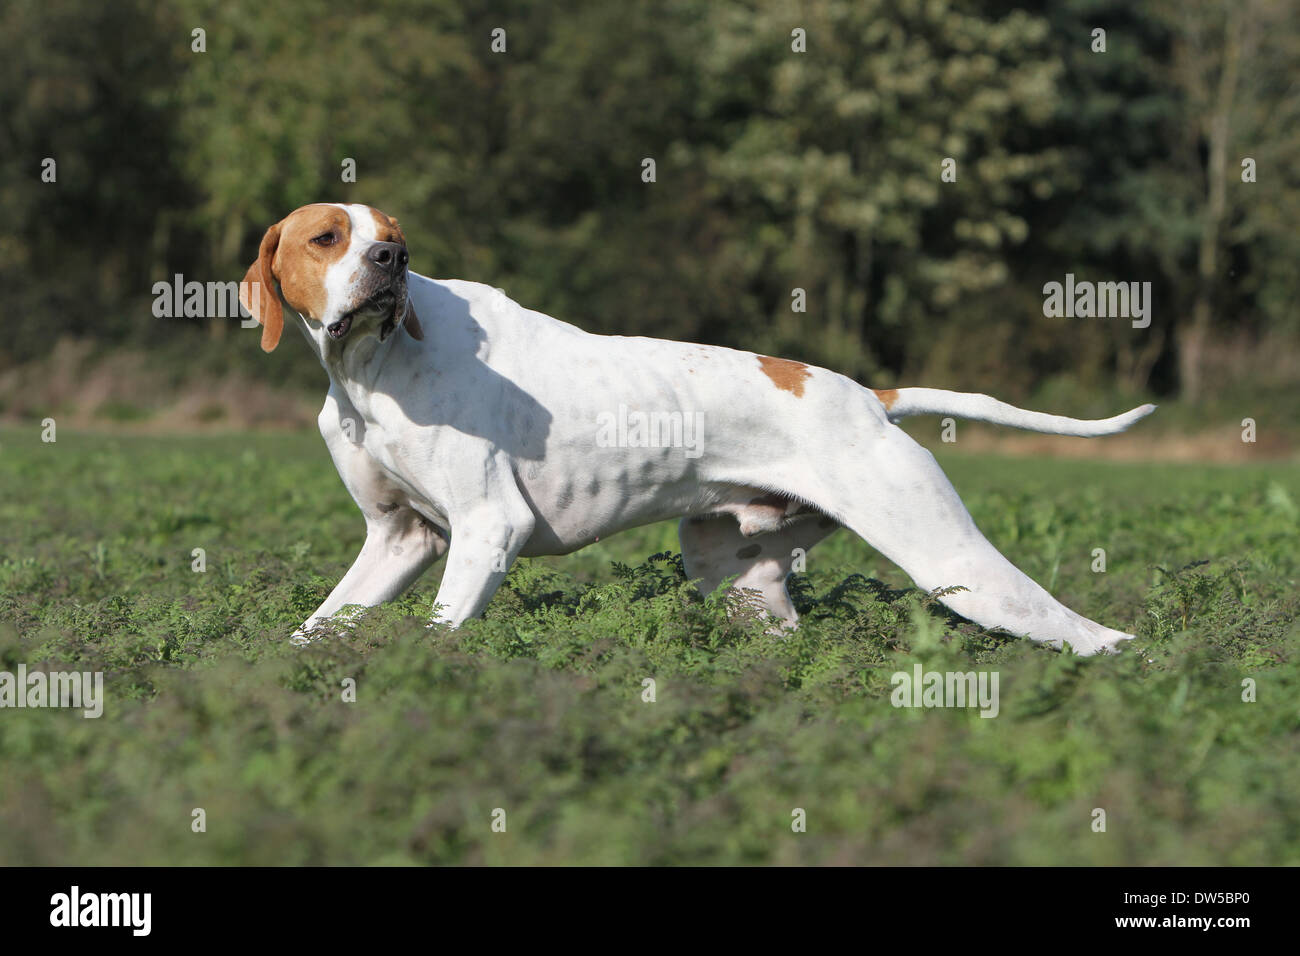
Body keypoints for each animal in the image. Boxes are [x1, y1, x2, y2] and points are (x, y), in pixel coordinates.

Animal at [239, 199, 1154, 655]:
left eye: (395, 241)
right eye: (327, 237)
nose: (389, 264)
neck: (374, 367)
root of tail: (868, 395)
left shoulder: (488, 529)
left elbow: (436, 639)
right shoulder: (401, 540)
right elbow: (311, 635)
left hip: (955, 565)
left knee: (1097, 638)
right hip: (738, 577)